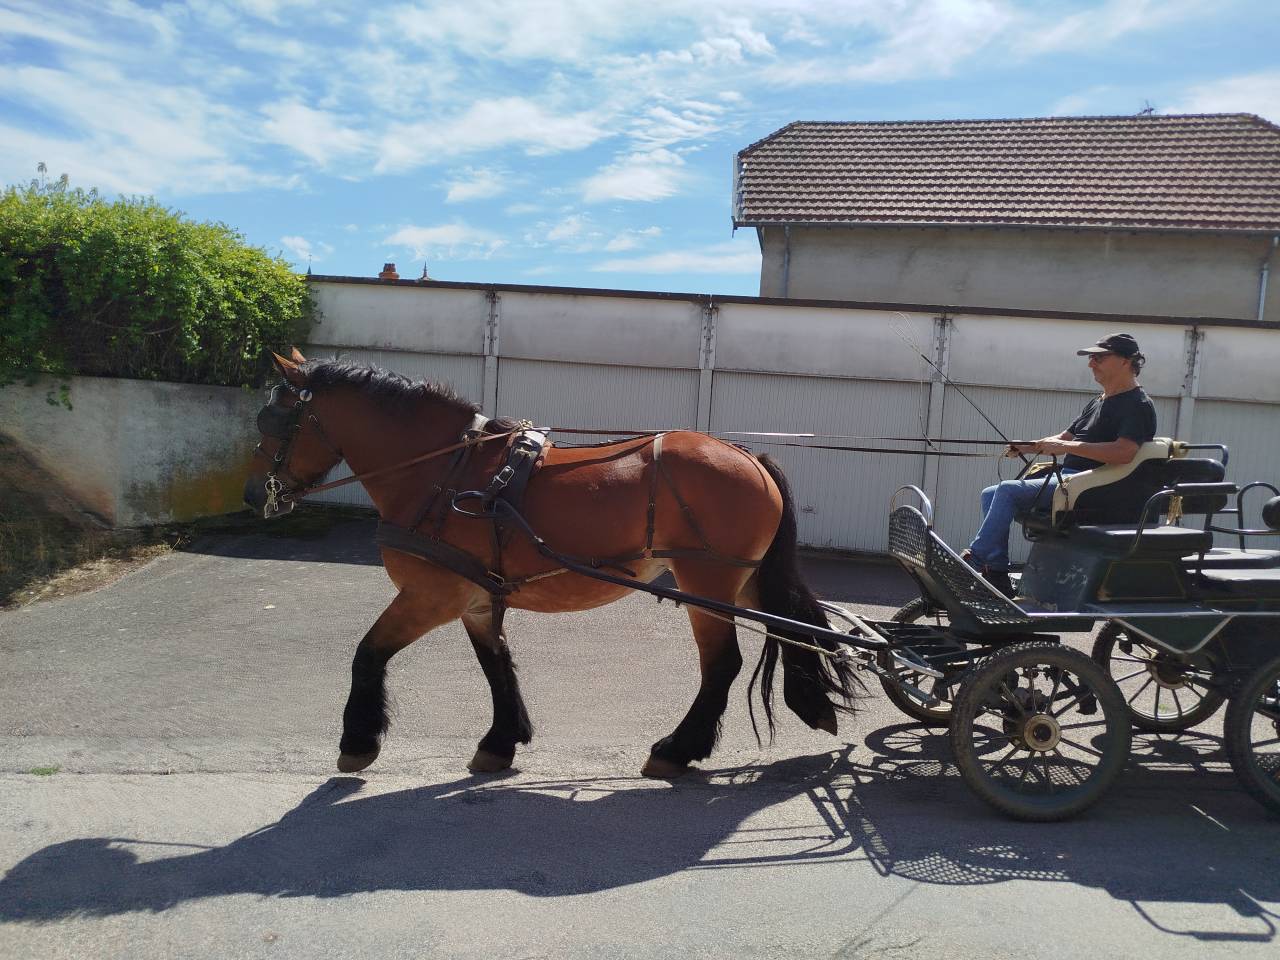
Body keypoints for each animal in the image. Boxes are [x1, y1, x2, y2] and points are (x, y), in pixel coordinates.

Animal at [243, 349, 857, 778]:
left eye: (270, 422)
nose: (252, 495)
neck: (445, 472)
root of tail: (748, 455)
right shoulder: (474, 598)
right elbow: (496, 665)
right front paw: (500, 741)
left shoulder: (429, 596)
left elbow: (367, 652)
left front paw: (358, 742)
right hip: (743, 580)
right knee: (790, 626)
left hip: (707, 582)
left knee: (722, 665)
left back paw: (677, 750)